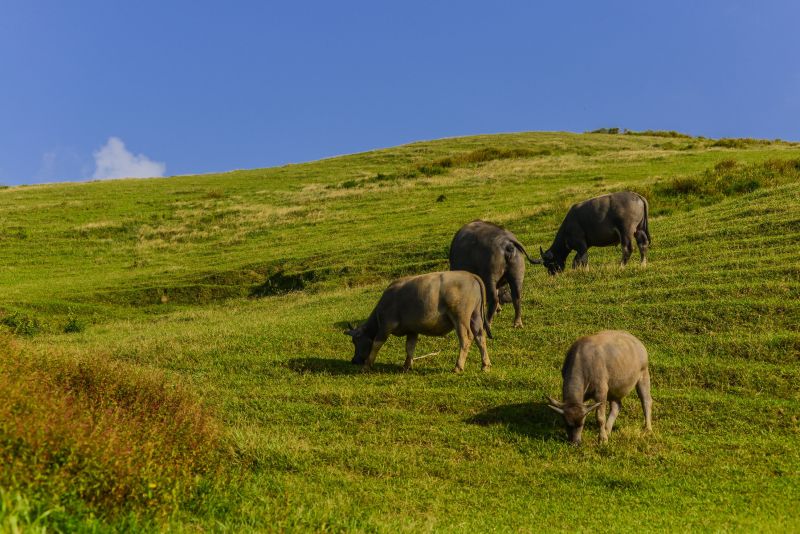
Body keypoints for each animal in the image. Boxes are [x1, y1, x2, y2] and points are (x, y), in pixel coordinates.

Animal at [346, 272, 494, 372]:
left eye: (355, 341)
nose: (354, 360)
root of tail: (471, 275)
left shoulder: (385, 326)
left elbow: (376, 344)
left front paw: (367, 365)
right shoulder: (412, 330)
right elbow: (410, 347)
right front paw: (406, 366)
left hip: (460, 318)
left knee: (466, 339)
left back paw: (458, 366)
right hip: (475, 317)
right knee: (480, 337)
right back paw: (485, 365)